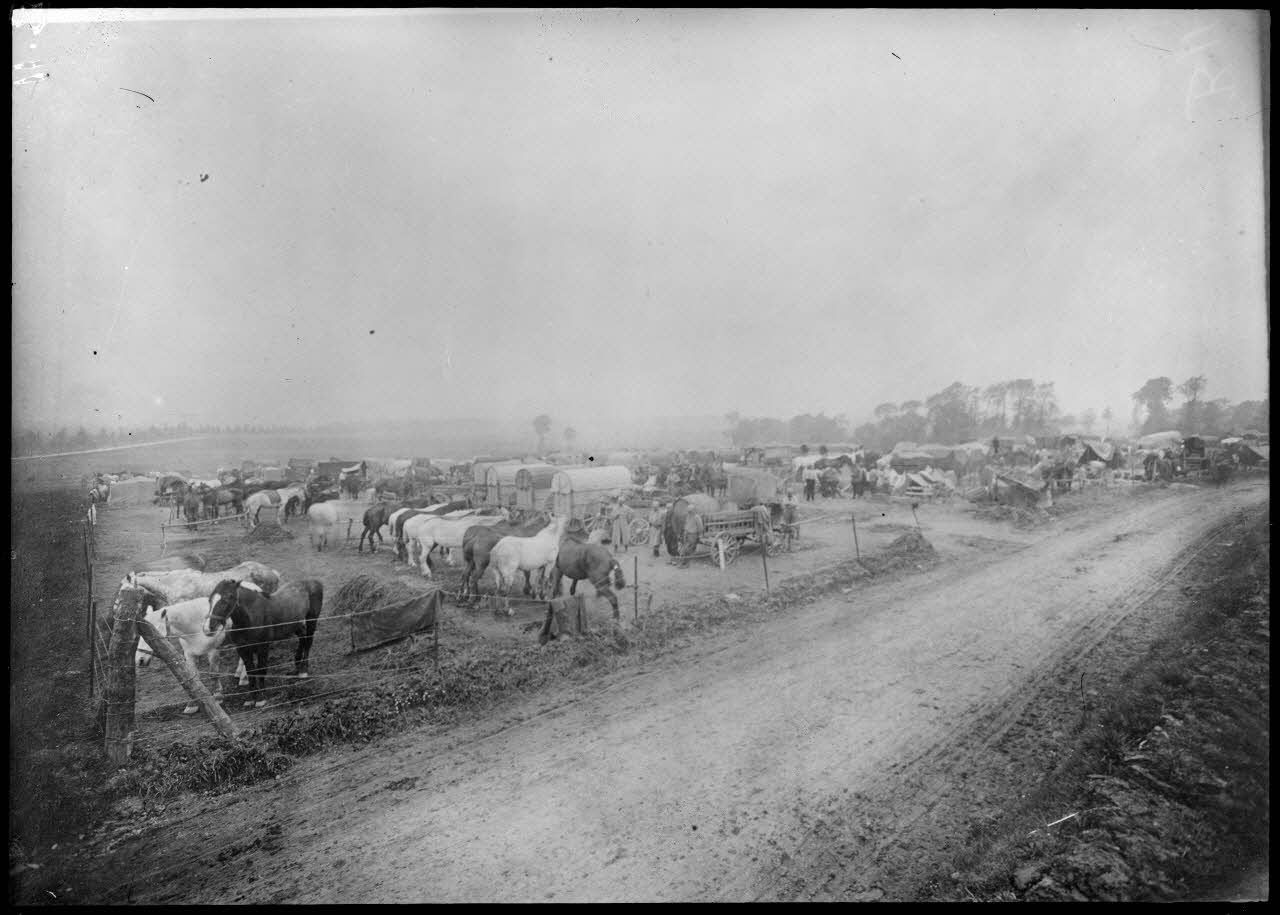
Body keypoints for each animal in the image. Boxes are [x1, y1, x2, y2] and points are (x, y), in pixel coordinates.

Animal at [205, 578, 324, 708]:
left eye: (229, 597)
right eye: (210, 599)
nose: (209, 627)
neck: (251, 619)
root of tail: (314, 581)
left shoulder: (263, 647)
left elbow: (261, 669)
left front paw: (261, 698)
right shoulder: (242, 649)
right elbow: (251, 672)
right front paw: (251, 698)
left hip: (312, 619)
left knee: (309, 641)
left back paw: (303, 670)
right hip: (294, 623)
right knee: (303, 636)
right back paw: (296, 667)